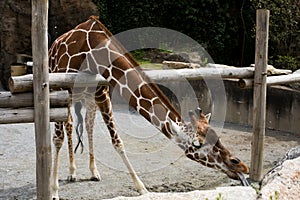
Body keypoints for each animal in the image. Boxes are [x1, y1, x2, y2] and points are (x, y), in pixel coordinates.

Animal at [49, 16, 250, 199]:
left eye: (217, 135)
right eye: (197, 144)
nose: (240, 165)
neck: (92, 51)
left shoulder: (101, 94)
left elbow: (117, 142)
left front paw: (141, 188)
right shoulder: (60, 90)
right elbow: (57, 139)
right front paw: (54, 192)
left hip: (88, 98)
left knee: (87, 125)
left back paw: (93, 172)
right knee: (68, 126)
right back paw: (72, 173)